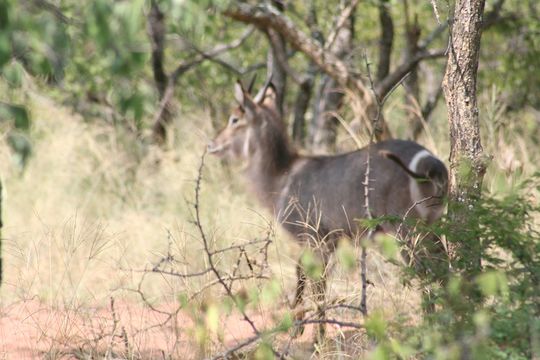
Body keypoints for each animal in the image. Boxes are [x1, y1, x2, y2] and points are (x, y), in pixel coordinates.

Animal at [207, 80, 448, 342]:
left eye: (234, 119)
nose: (211, 144)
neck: (281, 176)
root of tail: (430, 163)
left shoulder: (314, 238)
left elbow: (314, 283)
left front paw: (314, 337)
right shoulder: (325, 242)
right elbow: (304, 276)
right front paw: (299, 327)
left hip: (407, 231)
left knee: (425, 272)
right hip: (432, 227)